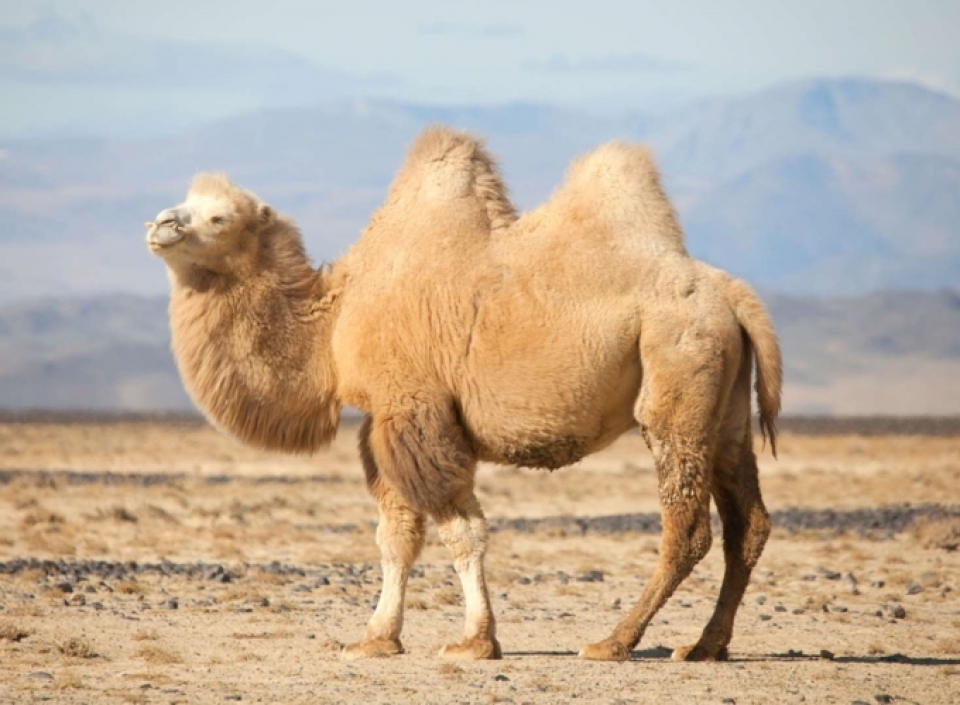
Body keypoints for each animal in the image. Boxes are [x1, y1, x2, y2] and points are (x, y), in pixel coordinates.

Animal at [146, 128, 784, 664]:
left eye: (219, 216)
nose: (160, 224)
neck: (334, 319)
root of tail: (732, 293)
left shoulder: (417, 410)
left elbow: (460, 532)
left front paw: (475, 641)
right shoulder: (383, 421)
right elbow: (396, 537)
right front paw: (376, 639)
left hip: (677, 374)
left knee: (688, 526)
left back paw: (614, 642)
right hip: (725, 408)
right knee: (748, 524)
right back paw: (705, 646)